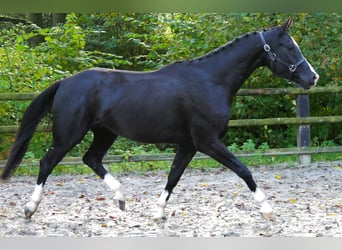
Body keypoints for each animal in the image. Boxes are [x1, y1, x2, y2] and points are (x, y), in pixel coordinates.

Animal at [2, 17, 318, 220]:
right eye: (290, 47)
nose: (312, 77)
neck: (211, 81)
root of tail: (65, 82)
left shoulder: (188, 145)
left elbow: (173, 177)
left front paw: (158, 213)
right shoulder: (207, 142)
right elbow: (244, 170)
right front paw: (267, 209)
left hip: (105, 133)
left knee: (91, 159)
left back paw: (121, 199)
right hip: (69, 134)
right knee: (47, 163)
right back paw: (30, 208)